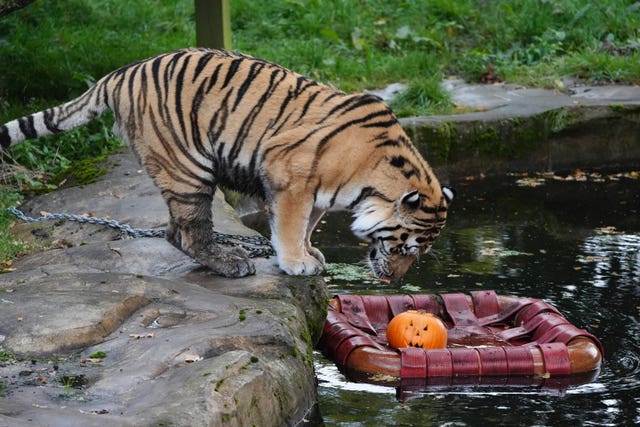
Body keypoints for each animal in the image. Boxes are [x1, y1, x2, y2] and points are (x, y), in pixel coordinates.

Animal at [0, 48, 452, 280]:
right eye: (406, 246)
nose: (394, 280)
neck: (371, 179)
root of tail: (118, 74)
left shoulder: (317, 192)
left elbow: (309, 222)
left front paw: (310, 252)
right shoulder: (289, 172)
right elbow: (290, 224)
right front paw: (296, 262)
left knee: (172, 231)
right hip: (188, 168)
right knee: (188, 233)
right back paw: (230, 263)